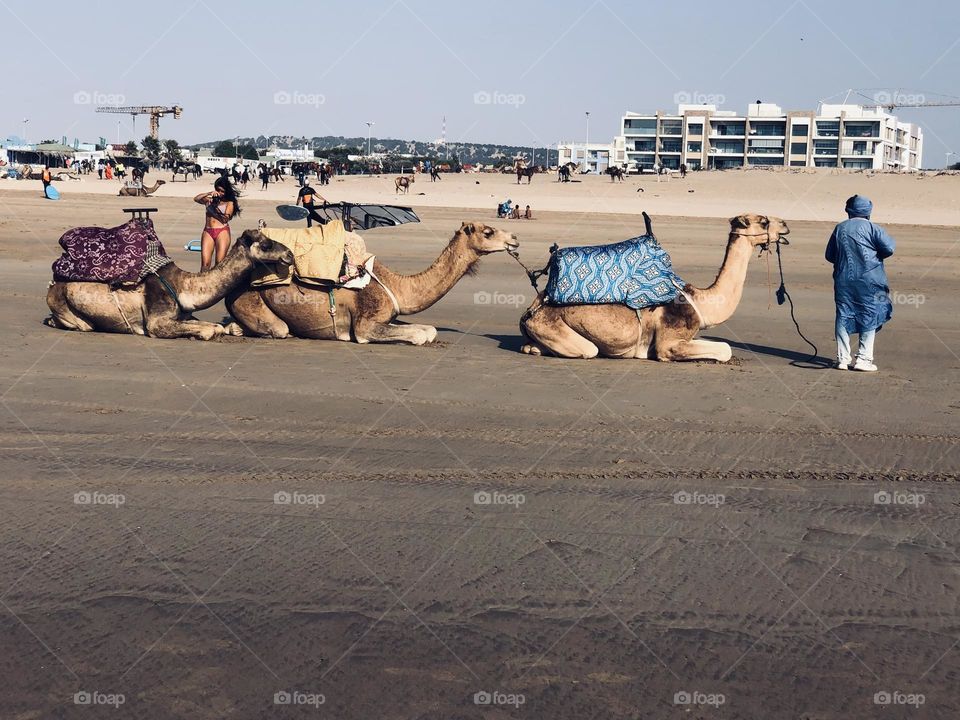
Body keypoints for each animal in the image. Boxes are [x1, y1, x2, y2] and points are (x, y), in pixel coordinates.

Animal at [46, 231, 294, 340]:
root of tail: (53, 284)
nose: (289, 254)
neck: (184, 286)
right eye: (266, 244)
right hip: (66, 306)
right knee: (81, 325)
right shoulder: (157, 322)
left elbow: (216, 326)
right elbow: (209, 330)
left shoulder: (183, 315)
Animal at [226, 222, 518, 345]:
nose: (514, 239)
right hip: (253, 300)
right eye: (488, 231)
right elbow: (419, 335)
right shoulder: (366, 324)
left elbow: (429, 330)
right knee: (278, 328)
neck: (396, 285)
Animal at [519, 213, 790, 362]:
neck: (699, 301)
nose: (785, 225)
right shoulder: (668, 343)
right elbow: (725, 349)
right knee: (589, 349)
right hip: (553, 326)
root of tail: (529, 311)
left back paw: (533, 348)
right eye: (763, 221)